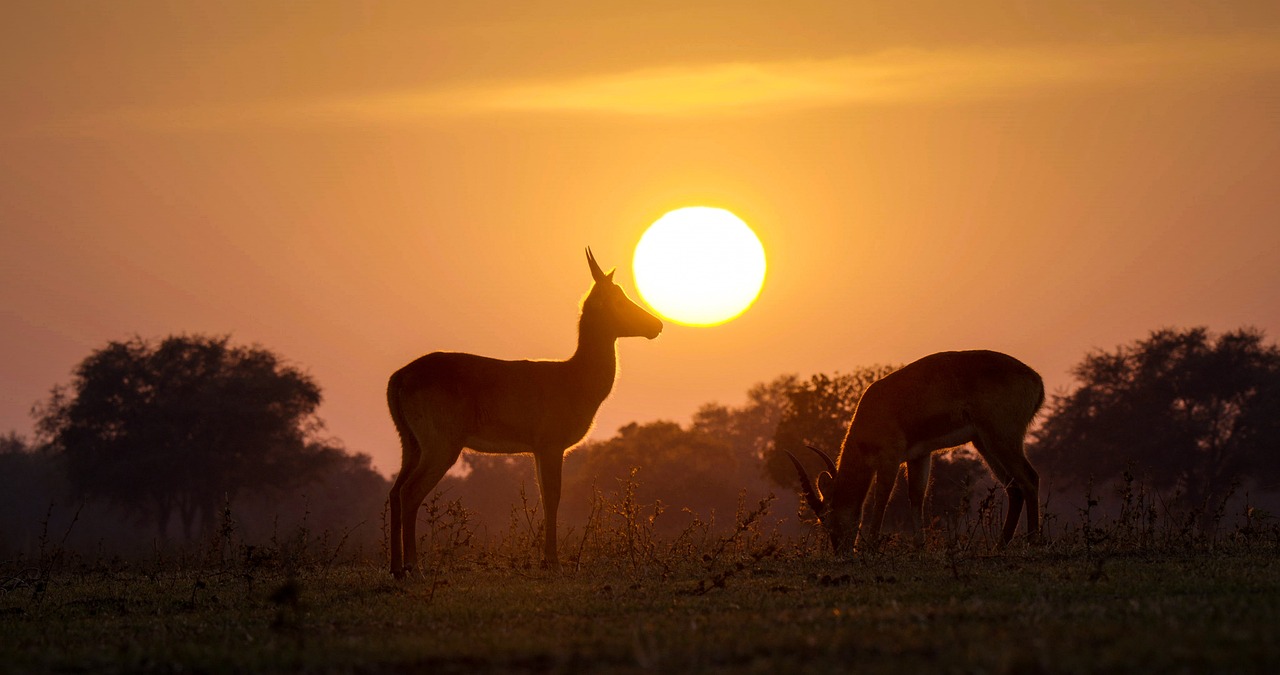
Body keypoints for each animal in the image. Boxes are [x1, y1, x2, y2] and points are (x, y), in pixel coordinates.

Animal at [384, 251, 660, 578]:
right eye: (618, 298)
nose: (657, 324)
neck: (577, 382)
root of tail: (398, 378)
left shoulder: (539, 447)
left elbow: (544, 496)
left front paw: (547, 561)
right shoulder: (551, 442)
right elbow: (553, 496)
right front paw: (554, 564)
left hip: (410, 441)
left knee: (394, 491)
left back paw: (396, 568)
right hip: (441, 441)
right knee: (410, 492)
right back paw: (414, 568)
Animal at [783, 348, 1044, 555]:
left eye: (827, 518)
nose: (842, 552)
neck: (873, 411)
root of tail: (1035, 379)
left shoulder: (890, 459)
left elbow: (881, 498)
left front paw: (871, 548)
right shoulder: (919, 456)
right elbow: (916, 496)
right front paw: (920, 547)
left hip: (1002, 439)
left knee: (1030, 478)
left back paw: (1032, 543)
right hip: (984, 442)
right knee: (1013, 486)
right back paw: (999, 546)